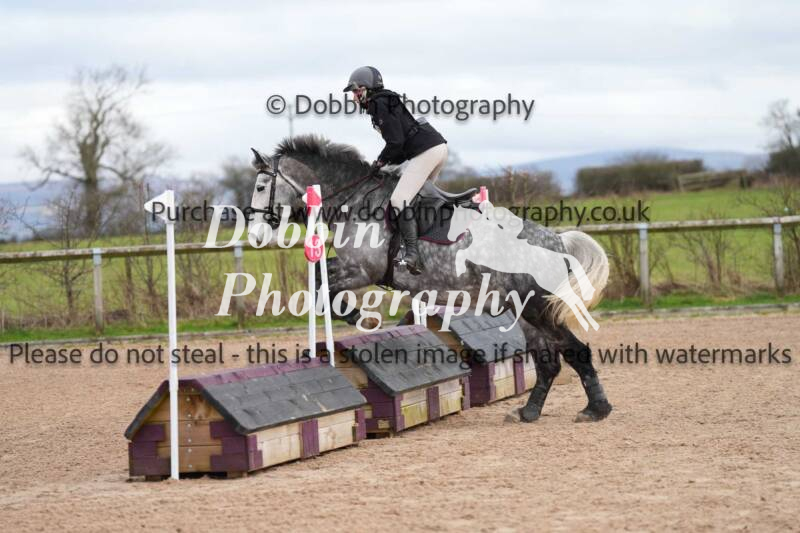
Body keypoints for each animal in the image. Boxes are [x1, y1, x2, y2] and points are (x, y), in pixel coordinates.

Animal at [247, 134, 612, 423]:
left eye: (261, 186)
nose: (255, 235)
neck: (356, 200)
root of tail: (558, 241)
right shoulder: (351, 267)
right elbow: (319, 279)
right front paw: (357, 316)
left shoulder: (362, 270)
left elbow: (327, 287)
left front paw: (361, 317)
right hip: (522, 310)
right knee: (549, 362)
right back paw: (529, 412)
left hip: (536, 308)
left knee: (575, 351)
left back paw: (595, 409)